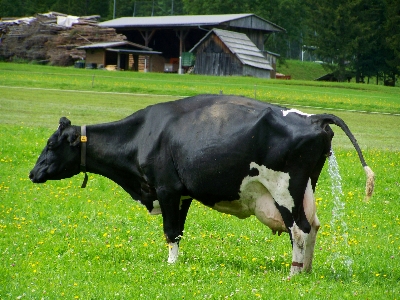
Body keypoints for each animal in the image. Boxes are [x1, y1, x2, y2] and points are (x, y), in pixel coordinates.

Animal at [29, 95, 374, 276]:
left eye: (51, 144)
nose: (32, 173)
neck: (143, 133)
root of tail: (312, 117)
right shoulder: (182, 194)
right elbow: (179, 231)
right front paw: (176, 261)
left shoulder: (167, 189)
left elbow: (170, 231)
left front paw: (170, 265)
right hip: (304, 189)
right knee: (312, 227)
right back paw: (306, 271)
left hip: (284, 189)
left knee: (299, 229)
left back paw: (292, 273)